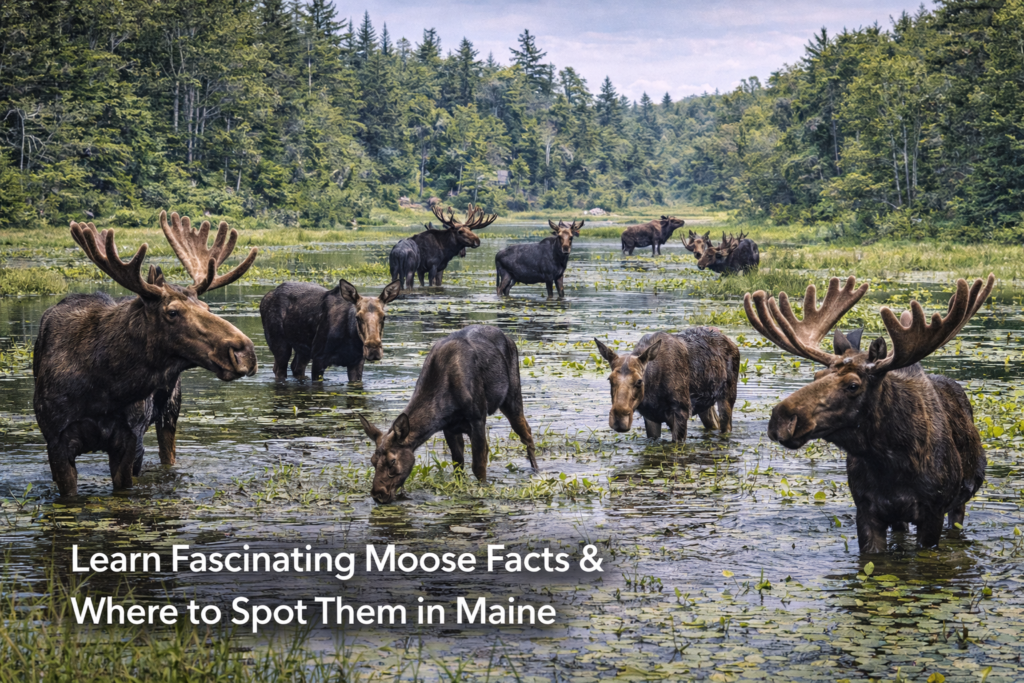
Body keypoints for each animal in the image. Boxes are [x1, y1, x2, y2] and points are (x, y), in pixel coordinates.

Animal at [33, 211, 258, 496]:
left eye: (206, 306)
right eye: (172, 312)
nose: (245, 351)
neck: (105, 386)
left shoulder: (131, 437)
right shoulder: (56, 440)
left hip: (170, 411)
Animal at [744, 274, 994, 552]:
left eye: (853, 385)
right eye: (817, 375)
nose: (781, 418)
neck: (889, 461)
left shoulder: (933, 511)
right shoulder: (866, 509)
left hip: (960, 502)